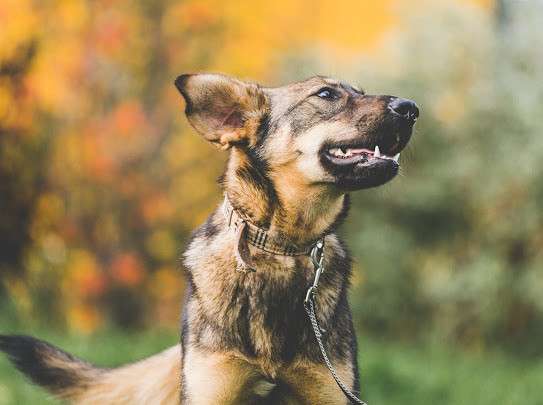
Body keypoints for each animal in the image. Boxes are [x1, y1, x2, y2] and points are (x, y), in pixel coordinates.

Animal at [0, 74, 420, 402]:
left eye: (358, 91)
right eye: (327, 94)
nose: (411, 107)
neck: (281, 248)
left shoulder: (328, 388)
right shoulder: (212, 386)